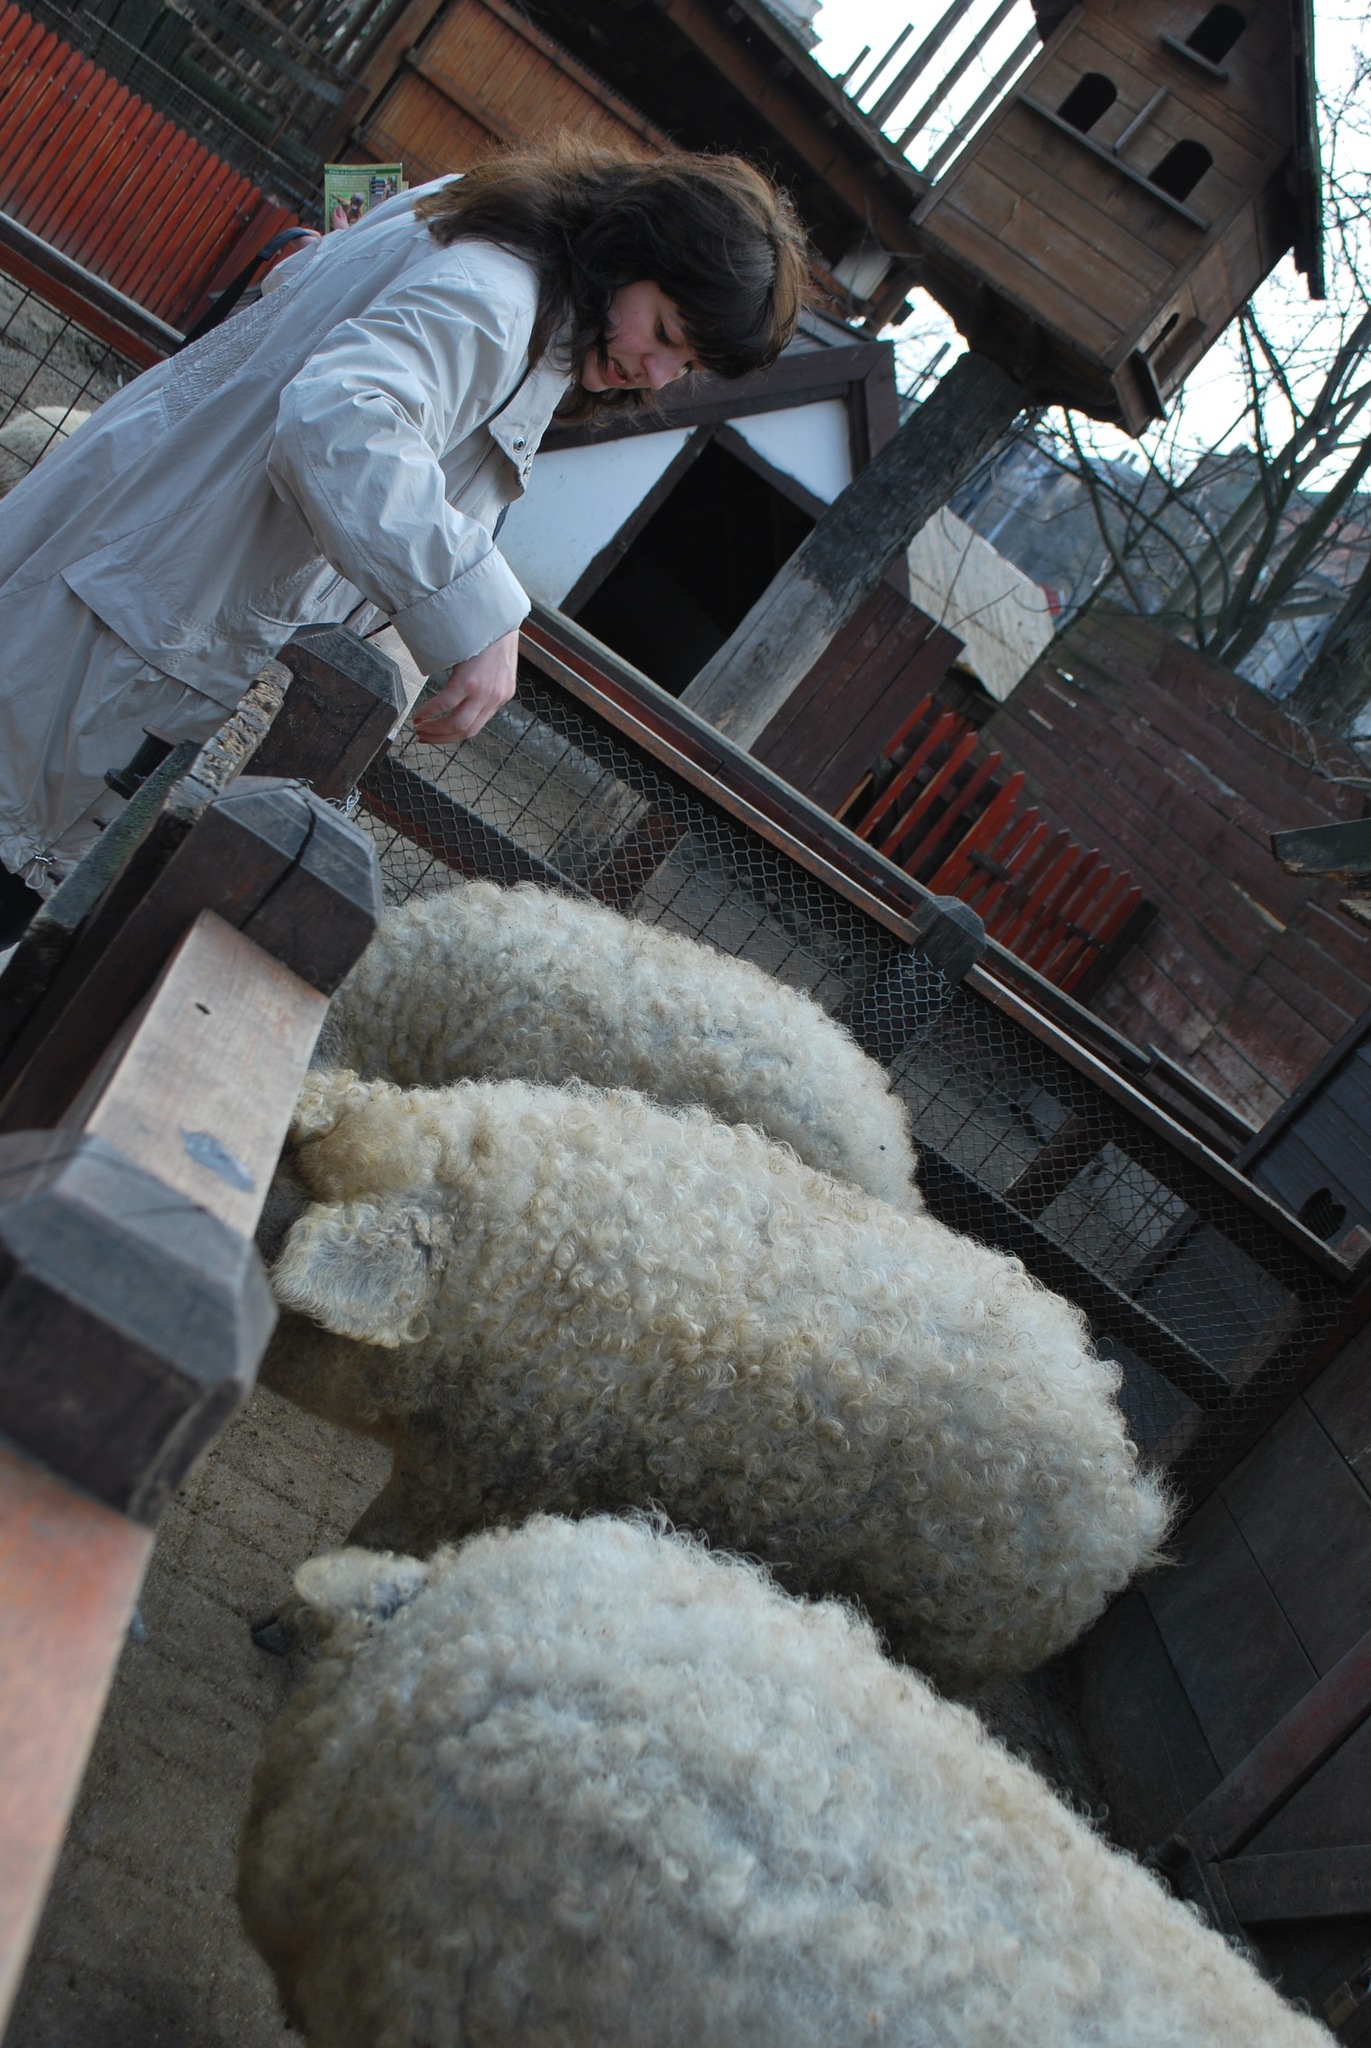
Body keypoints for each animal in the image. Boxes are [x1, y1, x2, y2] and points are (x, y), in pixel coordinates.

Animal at [262, 1068, 1169, 1691]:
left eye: (287, 1214)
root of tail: (1127, 1510)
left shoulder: (488, 1464)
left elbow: (379, 1535)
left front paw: (280, 1623)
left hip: (952, 1632)